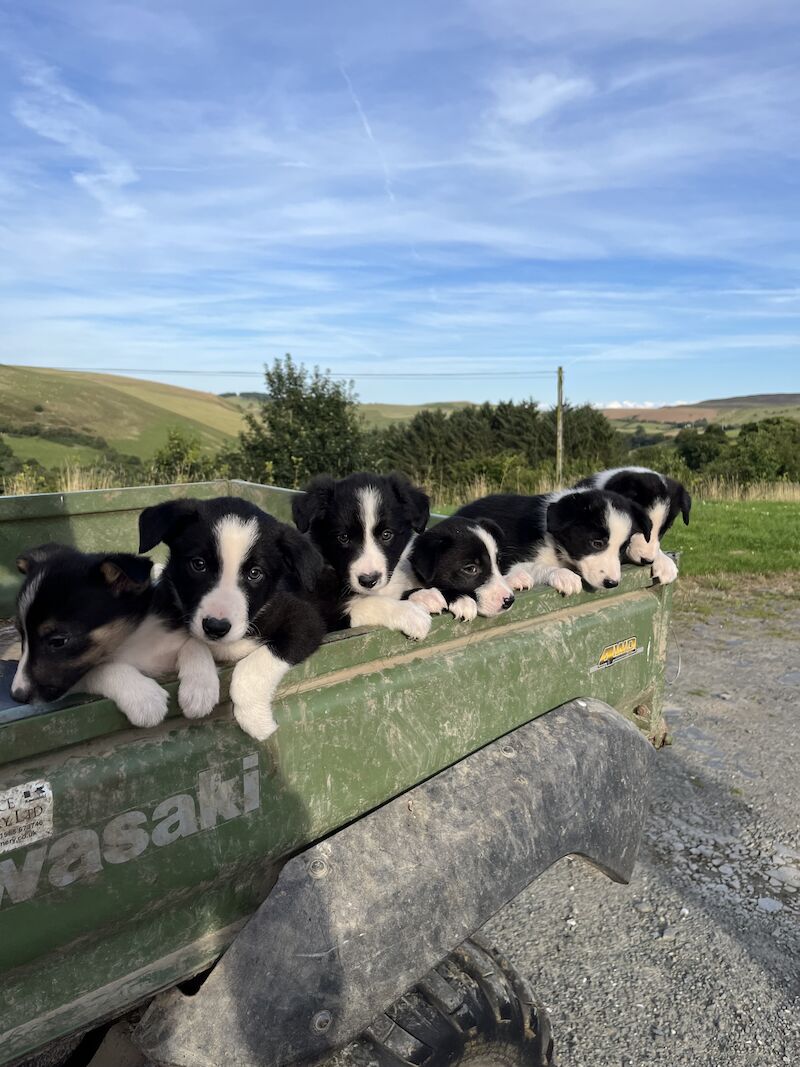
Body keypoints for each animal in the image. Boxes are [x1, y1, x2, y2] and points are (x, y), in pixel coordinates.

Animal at [9, 546, 173, 729]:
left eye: (58, 641)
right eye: (21, 633)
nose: (17, 696)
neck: (130, 642)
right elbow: (100, 667)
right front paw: (143, 695)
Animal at [140, 495, 326, 738]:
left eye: (255, 573)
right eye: (198, 564)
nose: (216, 627)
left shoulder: (305, 619)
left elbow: (250, 669)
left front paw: (257, 721)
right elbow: (192, 641)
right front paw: (199, 689)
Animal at [292, 471, 435, 635]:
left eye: (386, 534)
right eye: (343, 537)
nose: (368, 581)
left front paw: (424, 595)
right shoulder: (321, 618)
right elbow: (368, 604)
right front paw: (410, 612)